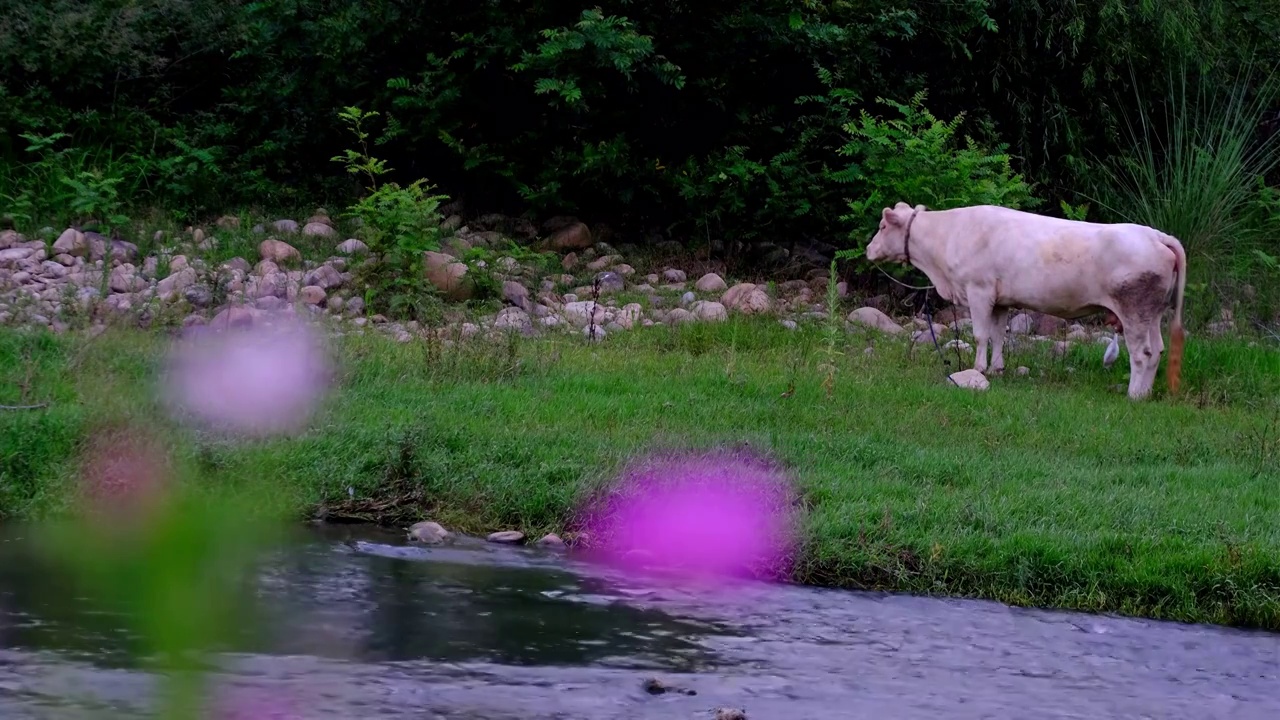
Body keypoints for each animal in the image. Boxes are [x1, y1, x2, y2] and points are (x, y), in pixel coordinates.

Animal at [865, 202, 1182, 397]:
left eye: (882, 227)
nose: (868, 250)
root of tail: (1156, 235)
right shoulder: (1000, 300)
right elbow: (998, 335)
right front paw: (997, 368)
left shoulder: (978, 290)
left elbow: (980, 334)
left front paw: (978, 369)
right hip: (1152, 314)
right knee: (1158, 350)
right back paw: (1145, 393)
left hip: (1134, 310)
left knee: (1142, 353)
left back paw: (1134, 395)